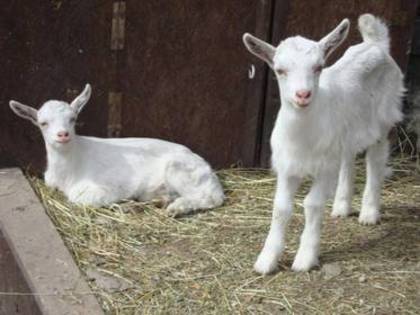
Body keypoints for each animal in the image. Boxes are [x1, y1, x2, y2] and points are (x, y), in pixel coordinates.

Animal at [243, 13, 404, 274]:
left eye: (318, 67)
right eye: (280, 70)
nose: (302, 95)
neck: (302, 135)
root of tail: (376, 44)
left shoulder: (325, 169)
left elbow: (312, 204)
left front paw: (305, 259)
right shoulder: (288, 166)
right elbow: (281, 208)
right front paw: (266, 260)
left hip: (383, 118)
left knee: (375, 160)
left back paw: (369, 213)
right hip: (345, 133)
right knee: (349, 158)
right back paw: (341, 207)